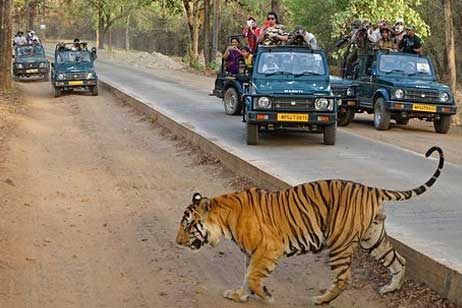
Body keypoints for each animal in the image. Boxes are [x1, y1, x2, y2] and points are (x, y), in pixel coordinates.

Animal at [175, 146, 442, 304]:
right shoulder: (251, 253)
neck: (224, 220)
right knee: (399, 260)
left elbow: (252, 276)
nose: (177, 242)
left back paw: (322, 299)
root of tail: (370, 189)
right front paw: (239, 295)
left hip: (339, 242)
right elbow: (246, 276)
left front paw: (265, 296)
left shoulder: (268, 249)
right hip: (373, 238)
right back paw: (391, 289)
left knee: (345, 277)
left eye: (188, 226)